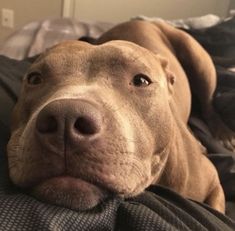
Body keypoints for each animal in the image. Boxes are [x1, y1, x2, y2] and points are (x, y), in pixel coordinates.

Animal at [6, 20, 226, 212]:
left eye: (141, 80)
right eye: (35, 78)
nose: (65, 118)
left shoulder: (214, 182)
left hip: (199, 61)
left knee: (208, 104)